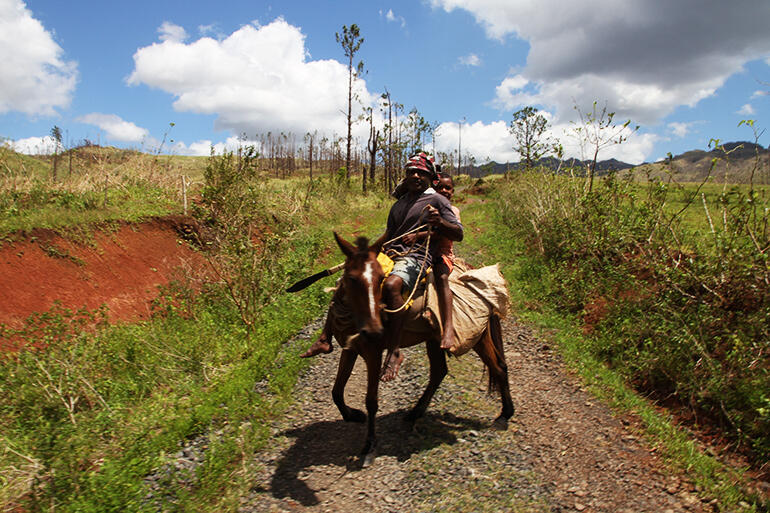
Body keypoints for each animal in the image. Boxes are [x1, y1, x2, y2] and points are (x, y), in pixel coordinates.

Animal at [328, 232, 512, 464]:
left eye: (380, 279)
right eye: (351, 278)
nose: (373, 330)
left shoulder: (373, 353)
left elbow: (371, 400)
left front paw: (370, 445)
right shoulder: (349, 348)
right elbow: (336, 391)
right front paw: (353, 415)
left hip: (478, 337)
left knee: (498, 368)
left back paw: (504, 416)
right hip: (435, 339)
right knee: (439, 371)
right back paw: (415, 413)